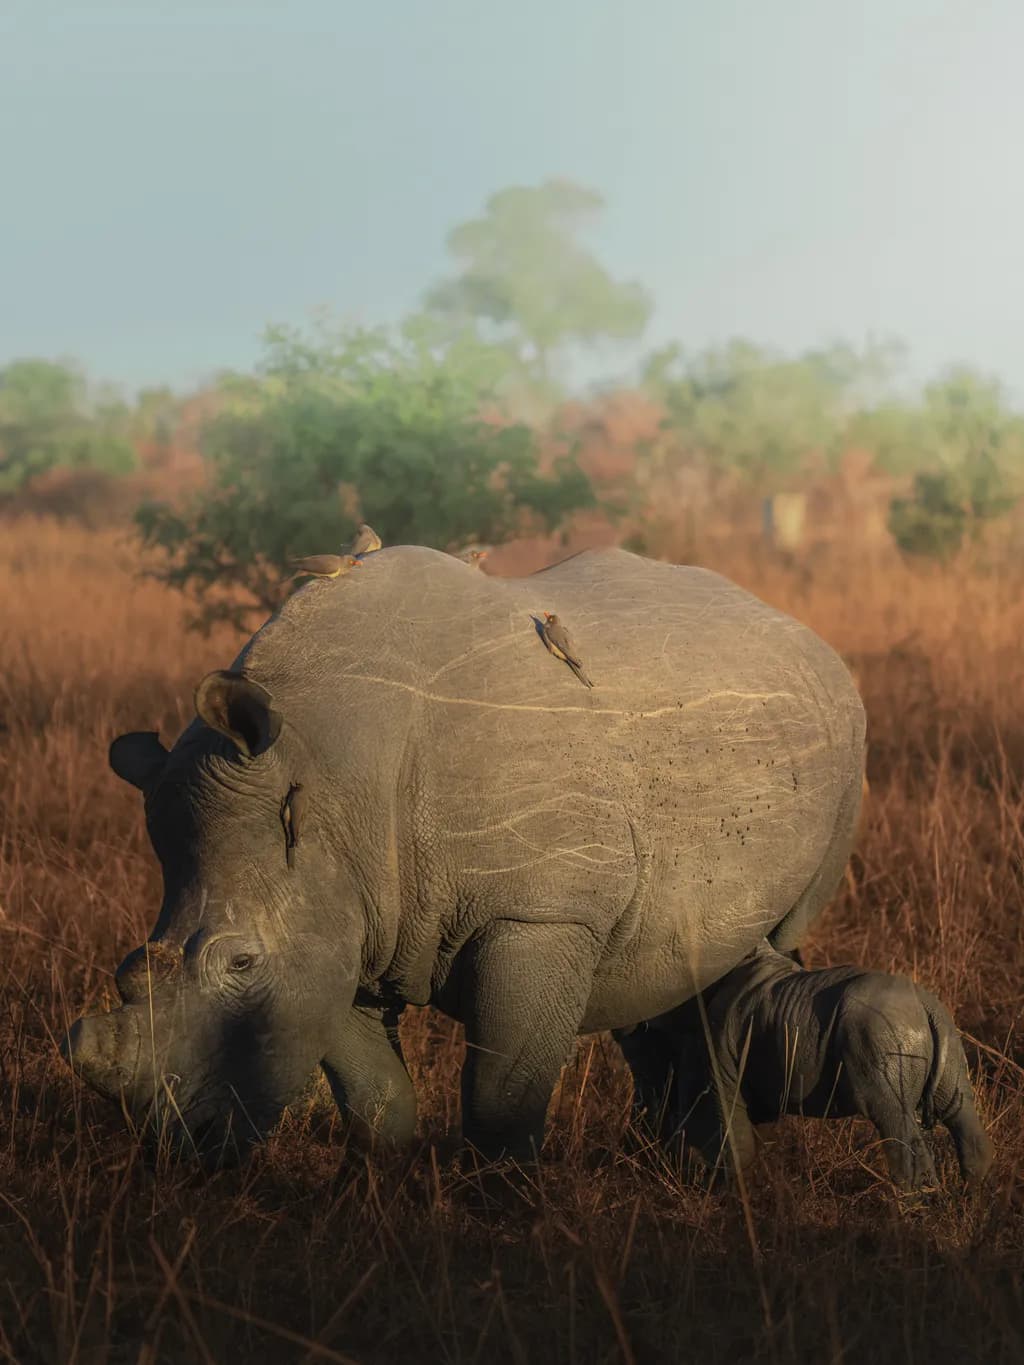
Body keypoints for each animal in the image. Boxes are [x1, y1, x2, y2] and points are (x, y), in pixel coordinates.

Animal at [61, 546, 866, 1167]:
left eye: (241, 963)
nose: (182, 1146)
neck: (325, 775)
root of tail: (805, 633)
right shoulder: (348, 915)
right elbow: (374, 1096)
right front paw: (373, 1187)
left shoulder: (539, 914)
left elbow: (500, 1095)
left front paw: (502, 1207)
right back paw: (710, 1171)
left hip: (849, 738)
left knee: (771, 940)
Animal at [626, 939, 994, 1190]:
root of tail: (925, 1006)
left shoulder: (717, 1053)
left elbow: (728, 1131)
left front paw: (723, 1192)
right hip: (943, 1028)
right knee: (958, 1107)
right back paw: (971, 1198)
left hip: (880, 1033)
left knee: (892, 1115)